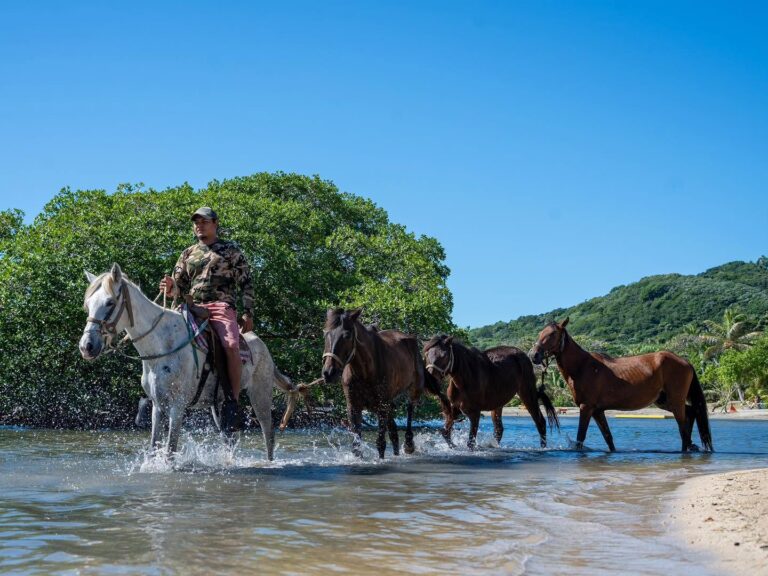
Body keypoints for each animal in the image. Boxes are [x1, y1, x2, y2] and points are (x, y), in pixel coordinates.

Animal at [79, 263, 298, 459]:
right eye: (88, 304)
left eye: (109, 302)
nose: (86, 346)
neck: (162, 345)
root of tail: (262, 345)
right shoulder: (157, 406)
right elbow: (153, 448)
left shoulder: (178, 406)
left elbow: (170, 451)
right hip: (218, 406)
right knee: (230, 440)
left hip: (260, 395)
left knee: (268, 434)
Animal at [321, 308, 449, 458]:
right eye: (325, 334)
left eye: (346, 335)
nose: (328, 373)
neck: (364, 371)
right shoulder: (353, 407)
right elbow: (356, 446)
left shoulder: (381, 406)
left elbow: (380, 443)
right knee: (394, 433)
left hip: (413, 390)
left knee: (409, 409)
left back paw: (409, 444)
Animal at [422, 335, 559, 449]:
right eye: (427, 354)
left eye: (444, 355)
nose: (430, 380)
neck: (464, 379)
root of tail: (524, 355)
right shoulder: (454, 409)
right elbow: (445, 433)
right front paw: (454, 446)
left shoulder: (474, 413)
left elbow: (470, 443)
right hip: (498, 404)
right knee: (499, 430)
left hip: (527, 394)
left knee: (540, 422)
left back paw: (543, 448)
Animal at [530, 318, 713, 452]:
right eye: (540, 333)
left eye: (552, 334)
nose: (534, 355)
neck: (582, 366)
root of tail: (686, 362)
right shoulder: (597, 410)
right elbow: (608, 438)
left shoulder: (586, 408)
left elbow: (580, 438)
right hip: (665, 401)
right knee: (690, 415)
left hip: (675, 401)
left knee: (683, 427)